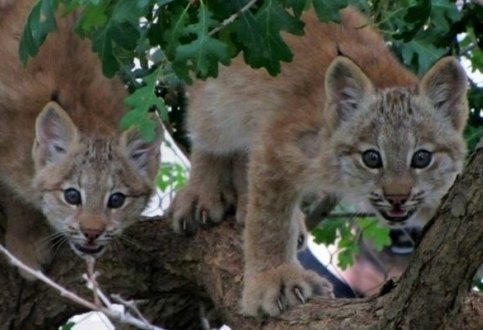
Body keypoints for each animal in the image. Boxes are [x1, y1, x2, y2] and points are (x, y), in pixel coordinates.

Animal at [169, 8, 468, 318]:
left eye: (422, 158)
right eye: (371, 158)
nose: (397, 198)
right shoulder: (276, 147)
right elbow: (269, 222)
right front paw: (273, 279)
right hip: (216, 94)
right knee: (208, 133)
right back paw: (203, 193)